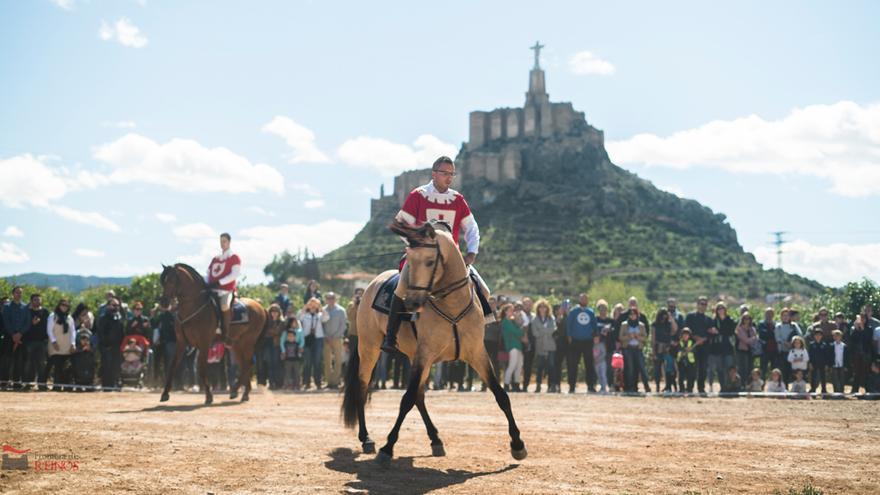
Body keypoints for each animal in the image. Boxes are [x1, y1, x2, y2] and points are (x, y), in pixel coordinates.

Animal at [158, 266, 268, 404]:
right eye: (163, 281)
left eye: (172, 281)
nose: (163, 302)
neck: (194, 307)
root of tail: (260, 307)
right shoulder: (181, 343)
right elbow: (172, 366)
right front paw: (165, 394)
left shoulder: (204, 344)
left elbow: (202, 368)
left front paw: (209, 396)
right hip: (236, 344)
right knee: (244, 364)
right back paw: (239, 391)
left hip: (247, 342)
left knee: (247, 363)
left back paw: (241, 391)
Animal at [340, 221, 524, 468]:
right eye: (409, 259)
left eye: (429, 261)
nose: (411, 302)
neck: (452, 305)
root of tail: (371, 285)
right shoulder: (425, 354)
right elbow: (406, 399)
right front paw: (387, 448)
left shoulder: (477, 354)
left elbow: (501, 395)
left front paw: (517, 444)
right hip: (370, 348)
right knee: (363, 387)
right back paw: (366, 438)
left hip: (414, 356)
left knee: (419, 395)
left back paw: (435, 439)